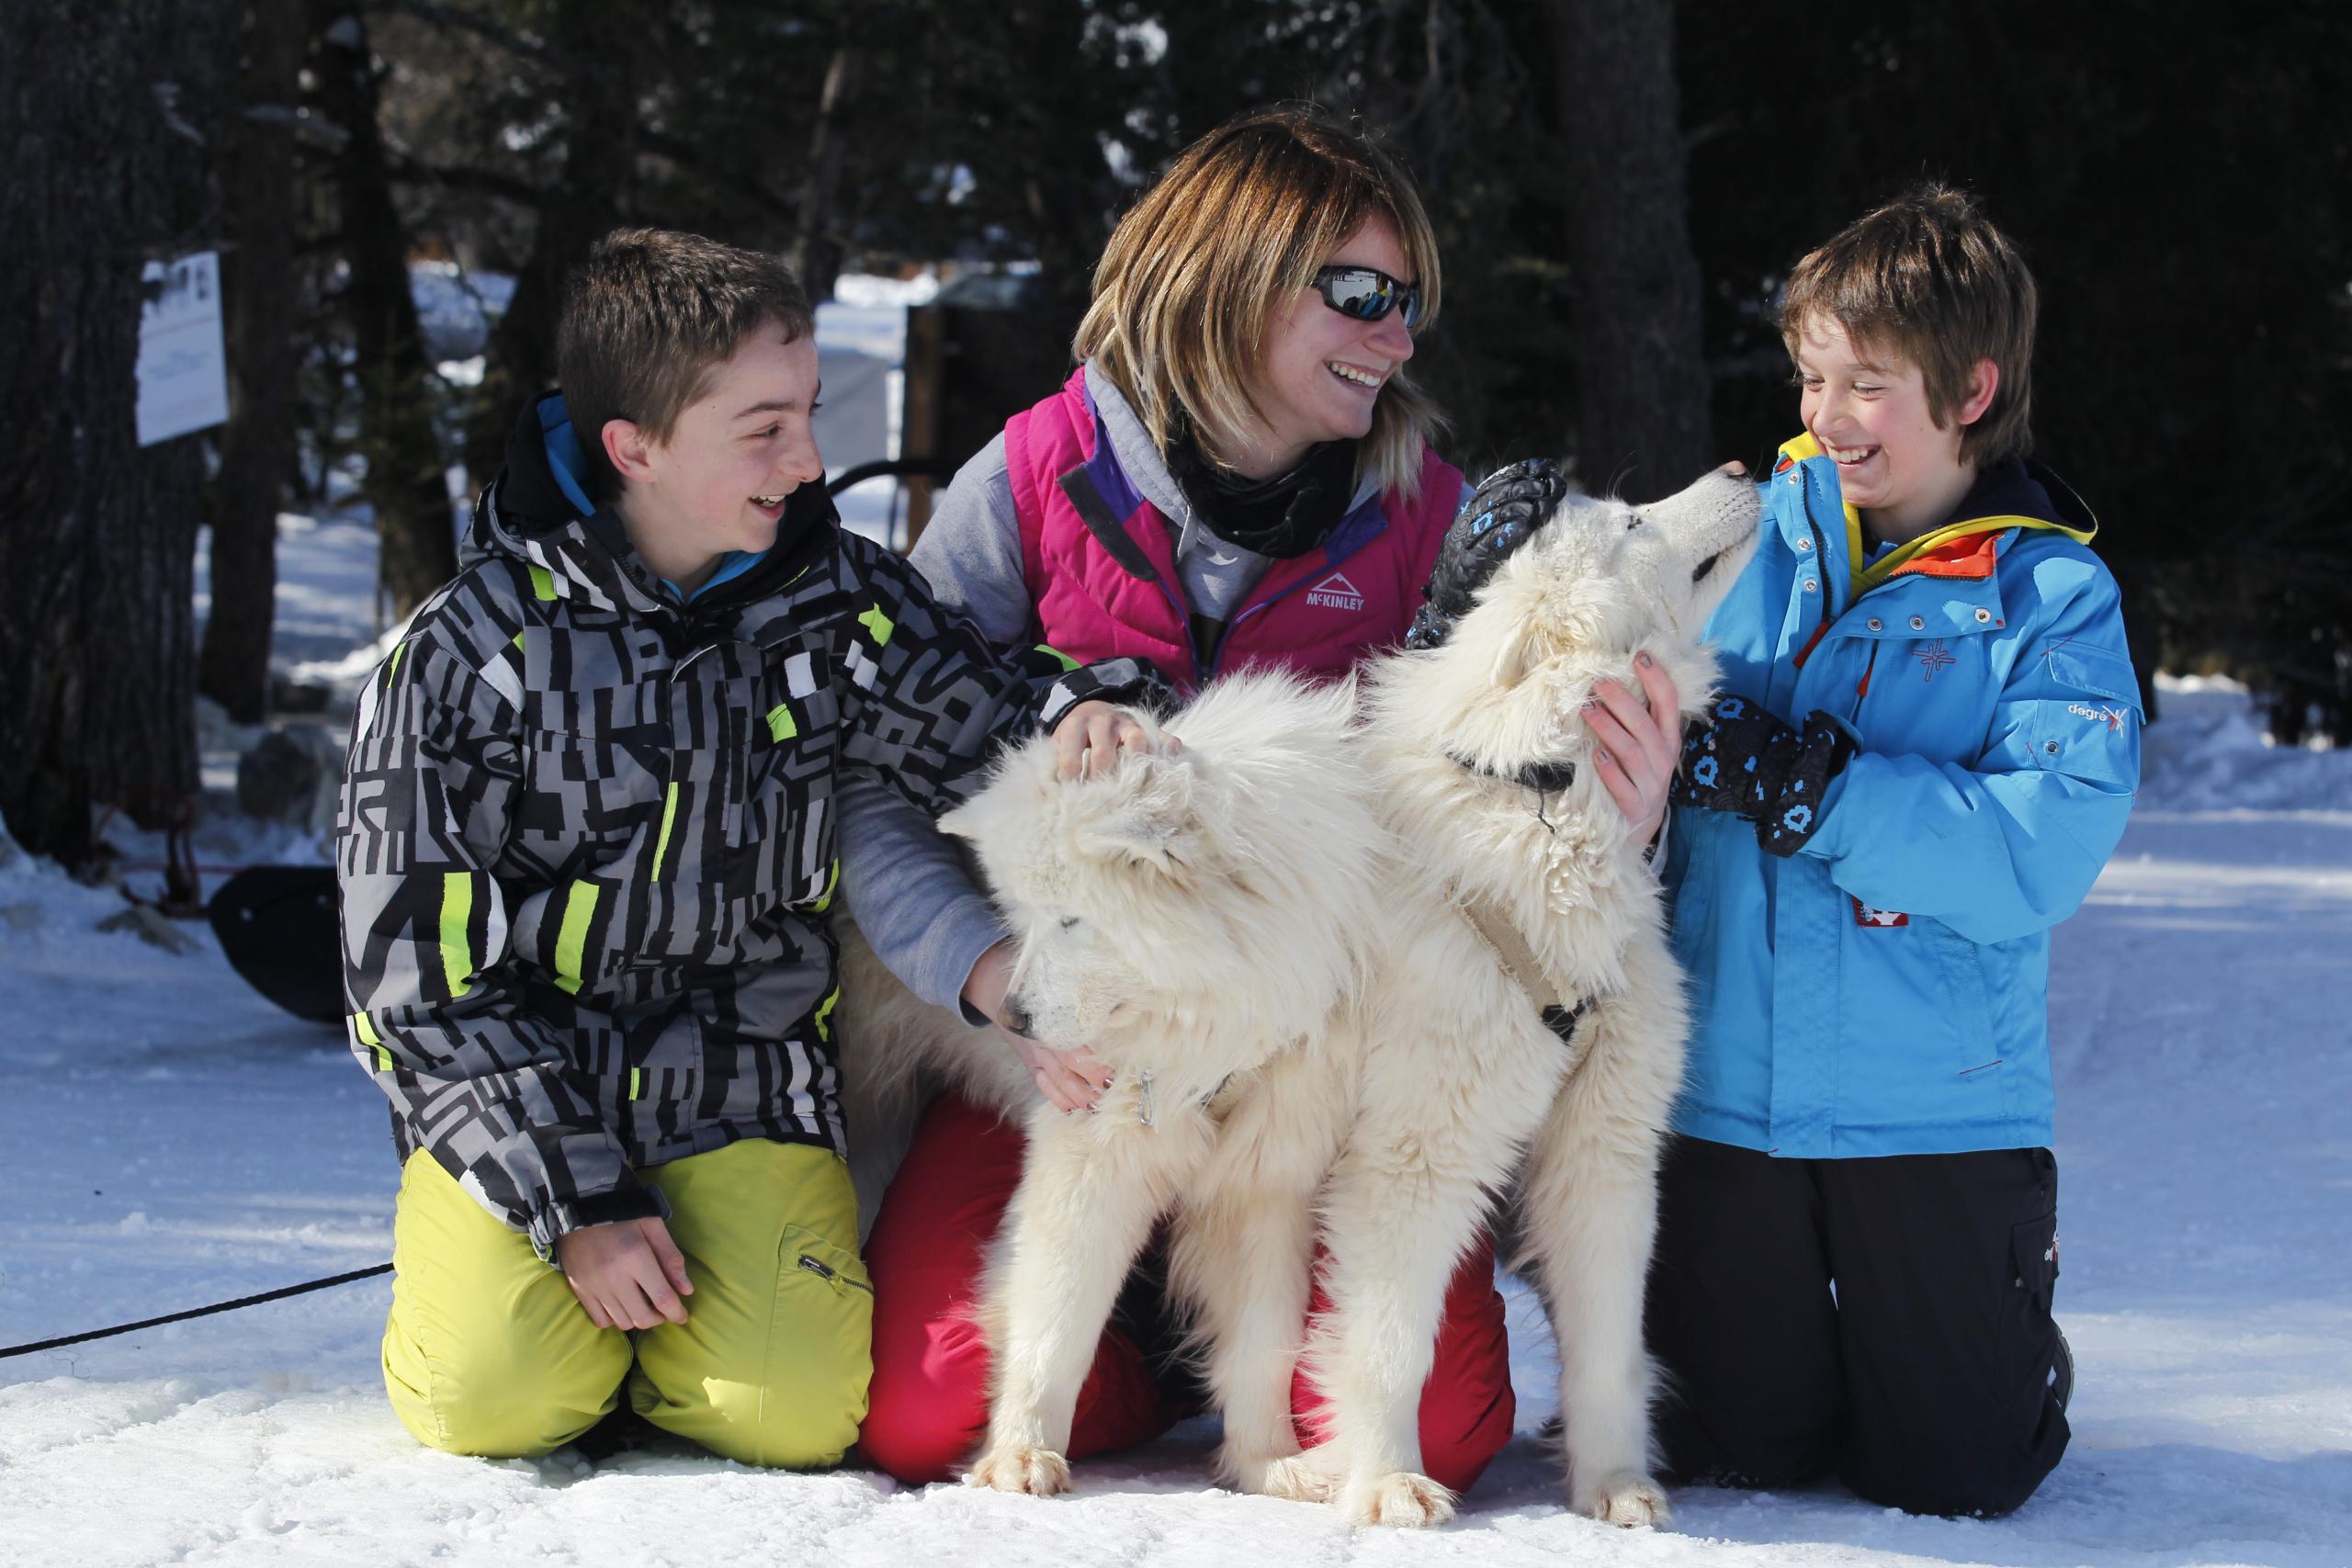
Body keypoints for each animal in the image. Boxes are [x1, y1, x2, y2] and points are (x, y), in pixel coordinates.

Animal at [837, 469, 1758, 1532]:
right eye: (1634, 521)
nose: (1742, 469)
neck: (1526, 816)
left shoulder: (1591, 1157)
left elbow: (1599, 1349)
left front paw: (1610, 1488)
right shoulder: (1380, 1159)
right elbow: (1085, 1317)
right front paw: (1383, 1483)